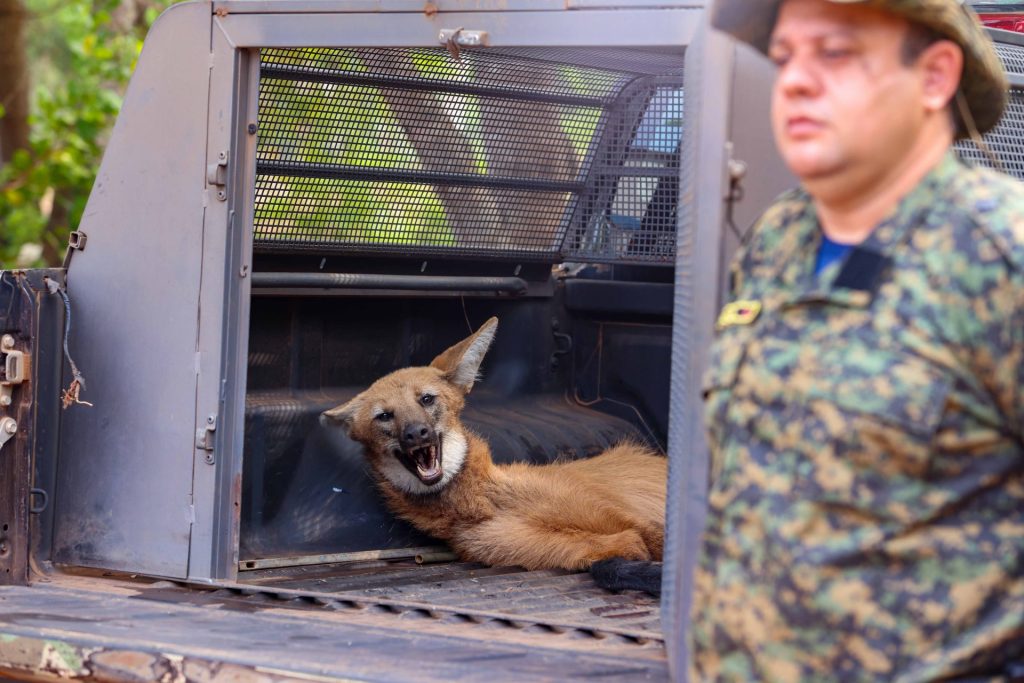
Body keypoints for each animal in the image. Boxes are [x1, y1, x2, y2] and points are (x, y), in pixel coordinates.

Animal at [321, 315, 671, 589]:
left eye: (426, 399)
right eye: (384, 416)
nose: (416, 433)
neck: (488, 499)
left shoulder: (631, 516)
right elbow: (612, 560)